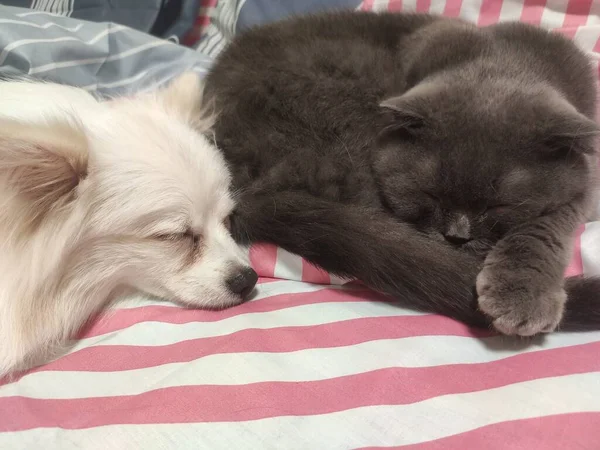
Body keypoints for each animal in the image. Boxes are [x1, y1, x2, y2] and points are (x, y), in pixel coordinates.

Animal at [205, 10, 600, 336]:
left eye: (498, 206)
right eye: (430, 195)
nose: (457, 237)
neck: (504, 62)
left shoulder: (584, 180)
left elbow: (544, 224)